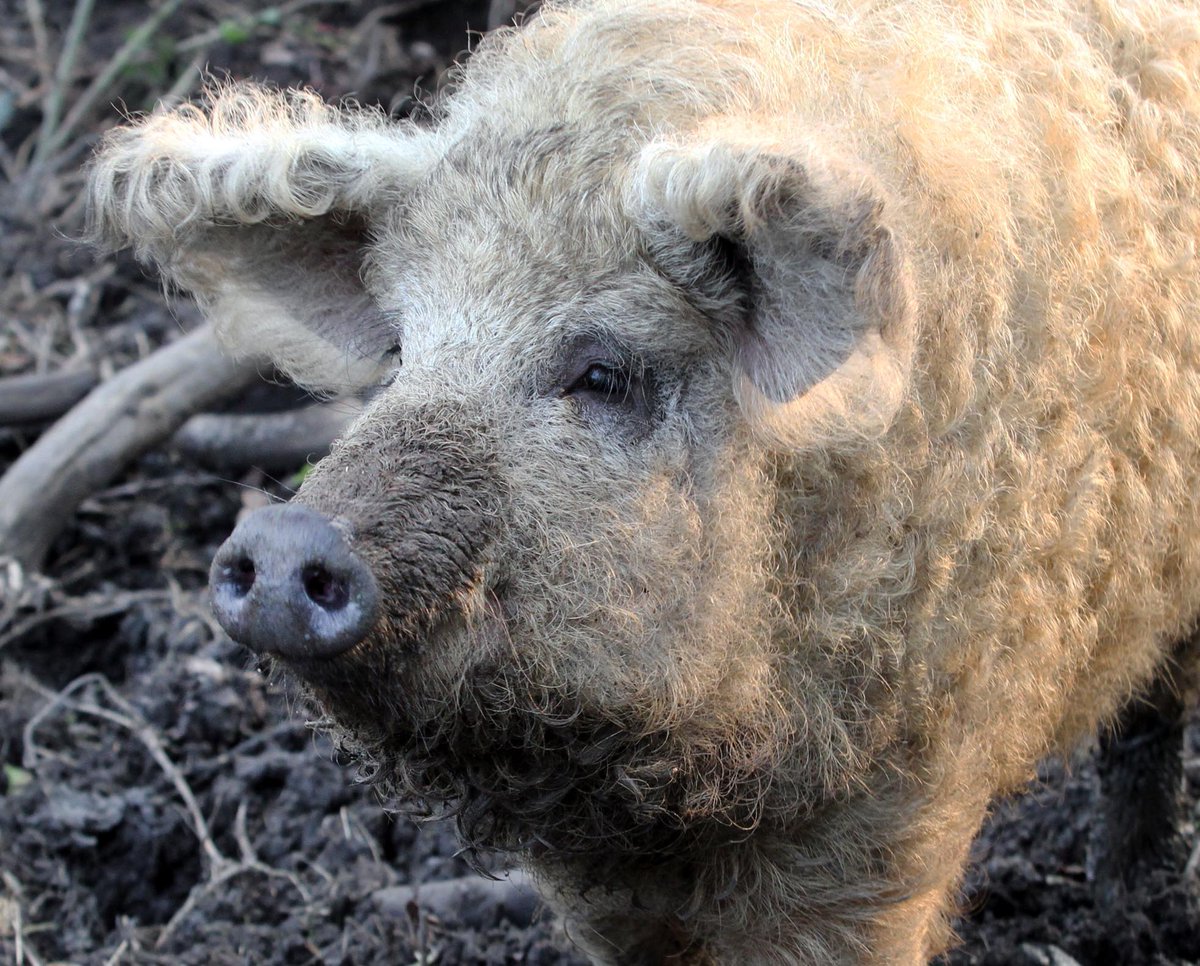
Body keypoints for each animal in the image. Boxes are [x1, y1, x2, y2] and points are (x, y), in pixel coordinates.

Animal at [85, 0, 1200, 961]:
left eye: (603, 373)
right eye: (401, 352)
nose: (285, 541)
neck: (687, 783)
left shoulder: (896, 803)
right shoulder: (601, 877)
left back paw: (1125, 908)